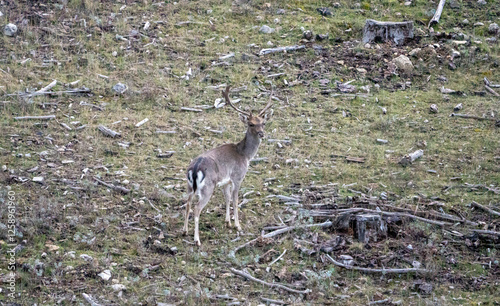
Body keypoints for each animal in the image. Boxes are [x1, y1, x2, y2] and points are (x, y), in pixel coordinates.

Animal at [183, 86, 272, 246]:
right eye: (250, 124)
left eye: (263, 123)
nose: (261, 133)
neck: (244, 155)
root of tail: (195, 169)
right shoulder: (237, 177)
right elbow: (236, 200)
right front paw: (237, 225)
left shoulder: (226, 181)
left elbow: (227, 198)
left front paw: (228, 222)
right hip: (207, 188)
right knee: (196, 209)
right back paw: (197, 240)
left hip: (189, 187)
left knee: (187, 204)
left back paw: (185, 231)